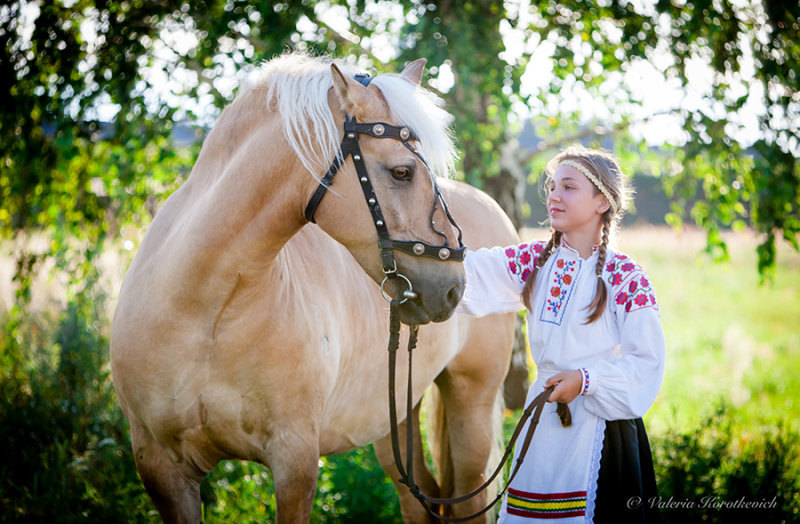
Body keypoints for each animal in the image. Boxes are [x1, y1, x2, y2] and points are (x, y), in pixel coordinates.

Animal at [109, 51, 516, 520]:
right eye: (401, 171)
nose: (454, 288)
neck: (205, 313)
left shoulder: (295, 460)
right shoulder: (162, 468)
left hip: (472, 402)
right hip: (393, 417)